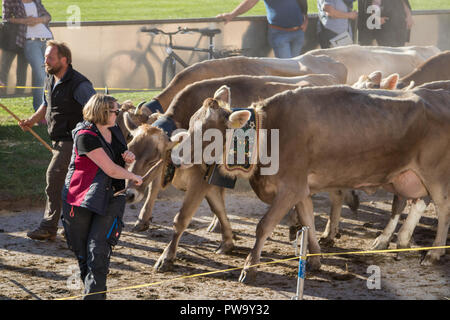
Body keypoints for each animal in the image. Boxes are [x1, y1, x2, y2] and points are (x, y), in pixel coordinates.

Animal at [176, 81, 450, 282]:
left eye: (206, 132)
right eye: (190, 124)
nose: (177, 155)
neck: (269, 132)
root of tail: (439, 95)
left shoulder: (289, 189)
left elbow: (264, 226)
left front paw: (249, 268)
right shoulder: (301, 190)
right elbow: (308, 220)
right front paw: (316, 259)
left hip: (436, 177)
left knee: (443, 209)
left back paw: (433, 254)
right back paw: (393, 241)